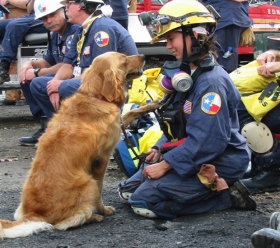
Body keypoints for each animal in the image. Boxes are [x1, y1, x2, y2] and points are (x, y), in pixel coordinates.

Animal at [0, 51, 144, 239]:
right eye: (125, 59)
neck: (95, 96)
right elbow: (100, 188)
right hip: (88, 183)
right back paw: (93, 217)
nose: (143, 56)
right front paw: (103, 209)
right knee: (65, 223)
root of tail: (35, 214)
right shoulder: (102, 159)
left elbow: (132, 112)